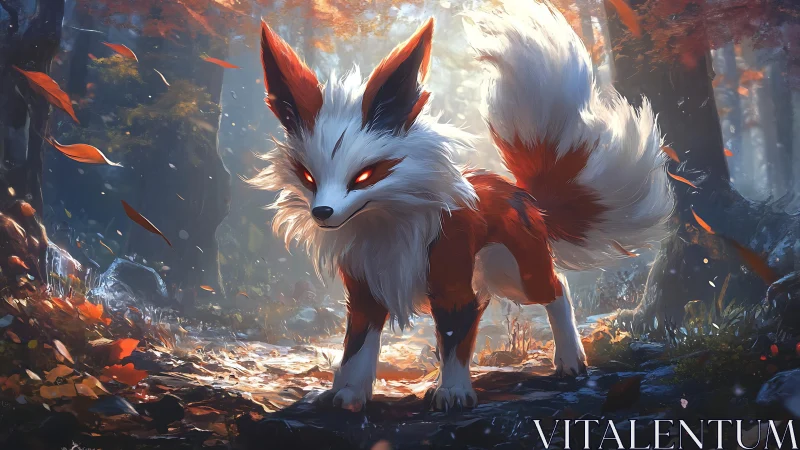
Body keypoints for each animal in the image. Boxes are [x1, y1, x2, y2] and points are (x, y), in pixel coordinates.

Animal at [250, 0, 674, 411]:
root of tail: (521, 193)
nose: (322, 213)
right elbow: (357, 348)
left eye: (364, 175)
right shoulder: (367, 290)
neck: (386, 225)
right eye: (308, 177)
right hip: (496, 275)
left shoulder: (451, 286)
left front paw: (453, 393)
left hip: (517, 274)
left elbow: (454, 341)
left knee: (556, 288)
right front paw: (348, 396)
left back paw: (571, 361)